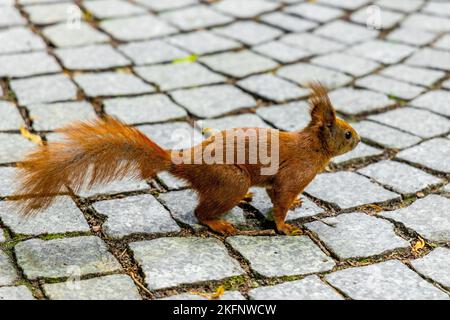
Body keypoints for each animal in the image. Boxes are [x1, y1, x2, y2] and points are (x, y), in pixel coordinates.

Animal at [12, 82, 360, 236]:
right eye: (346, 134)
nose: (359, 139)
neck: (312, 148)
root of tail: (186, 161)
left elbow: (281, 196)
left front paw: (298, 204)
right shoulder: (294, 173)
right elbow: (281, 199)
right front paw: (284, 227)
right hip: (231, 180)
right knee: (199, 212)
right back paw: (219, 223)